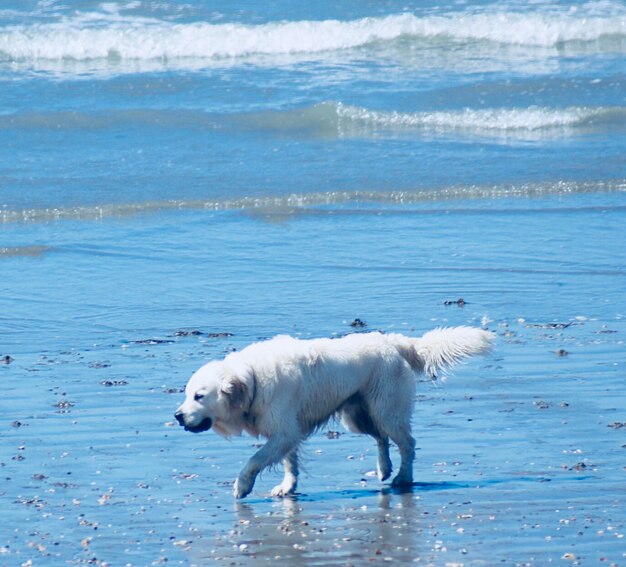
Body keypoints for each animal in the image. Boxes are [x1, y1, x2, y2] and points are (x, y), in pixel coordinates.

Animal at [174, 326, 492, 500]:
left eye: (199, 396)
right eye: (186, 394)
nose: (177, 416)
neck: (252, 380)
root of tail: (393, 341)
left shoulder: (284, 431)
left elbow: (254, 460)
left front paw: (242, 486)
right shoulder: (289, 431)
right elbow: (289, 462)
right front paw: (288, 487)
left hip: (386, 409)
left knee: (407, 444)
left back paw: (403, 477)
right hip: (358, 415)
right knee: (381, 439)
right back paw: (384, 468)